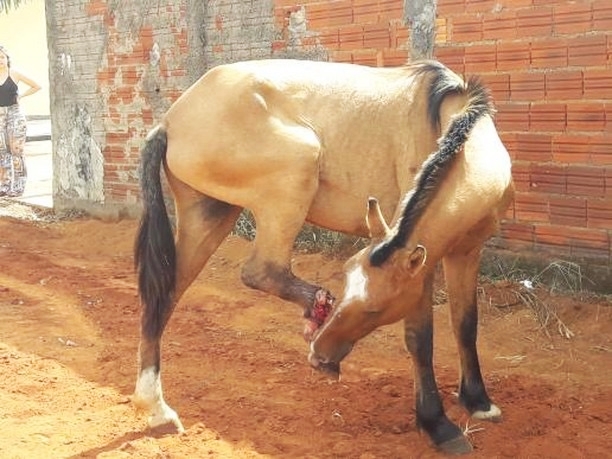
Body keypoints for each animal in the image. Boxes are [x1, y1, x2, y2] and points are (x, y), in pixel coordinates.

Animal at [135, 55, 516, 454]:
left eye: (373, 309)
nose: (320, 356)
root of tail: (171, 120)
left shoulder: (466, 251)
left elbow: (466, 325)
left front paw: (478, 401)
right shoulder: (422, 265)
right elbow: (420, 339)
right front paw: (437, 424)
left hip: (209, 213)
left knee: (163, 297)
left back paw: (156, 409)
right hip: (295, 172)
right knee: (261, 271)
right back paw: (317, 307)